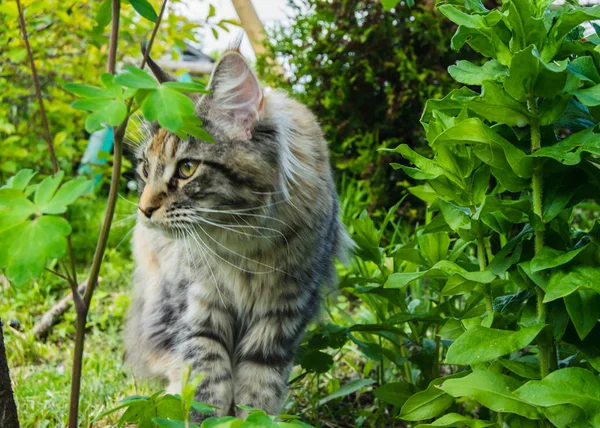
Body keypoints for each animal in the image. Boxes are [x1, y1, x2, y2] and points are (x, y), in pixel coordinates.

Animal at [124, 41, 352, 420]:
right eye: (145, 169)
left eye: (187, 169)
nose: (145, 210)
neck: (243, 245)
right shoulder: (199, 308)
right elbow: (205, 387)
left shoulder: (282, 315)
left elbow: (259, 392)